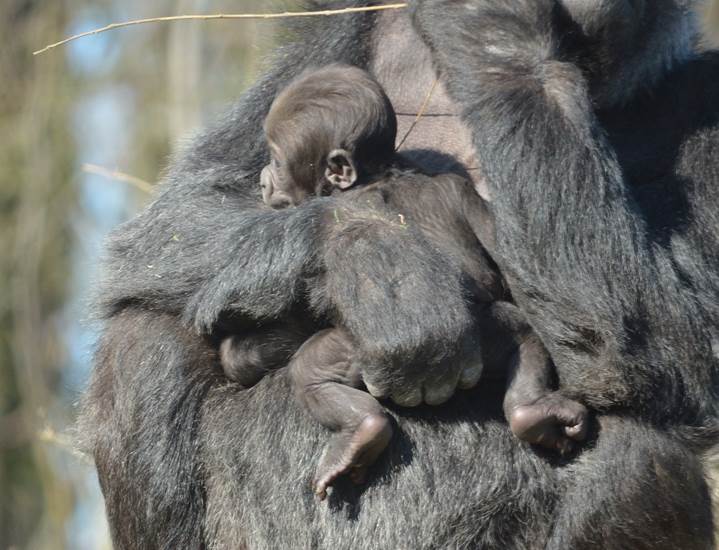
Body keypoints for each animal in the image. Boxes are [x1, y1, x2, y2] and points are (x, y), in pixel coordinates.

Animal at [221, 64, 592, 500]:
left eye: (278, 160)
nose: (264, 179)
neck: (376, 175)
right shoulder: (456, 188)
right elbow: (499, 246)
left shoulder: (333, 207)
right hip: (488, 335)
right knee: (524, 336)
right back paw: (532, 412)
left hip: (364, 358)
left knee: (313, 372)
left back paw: (360, 431)